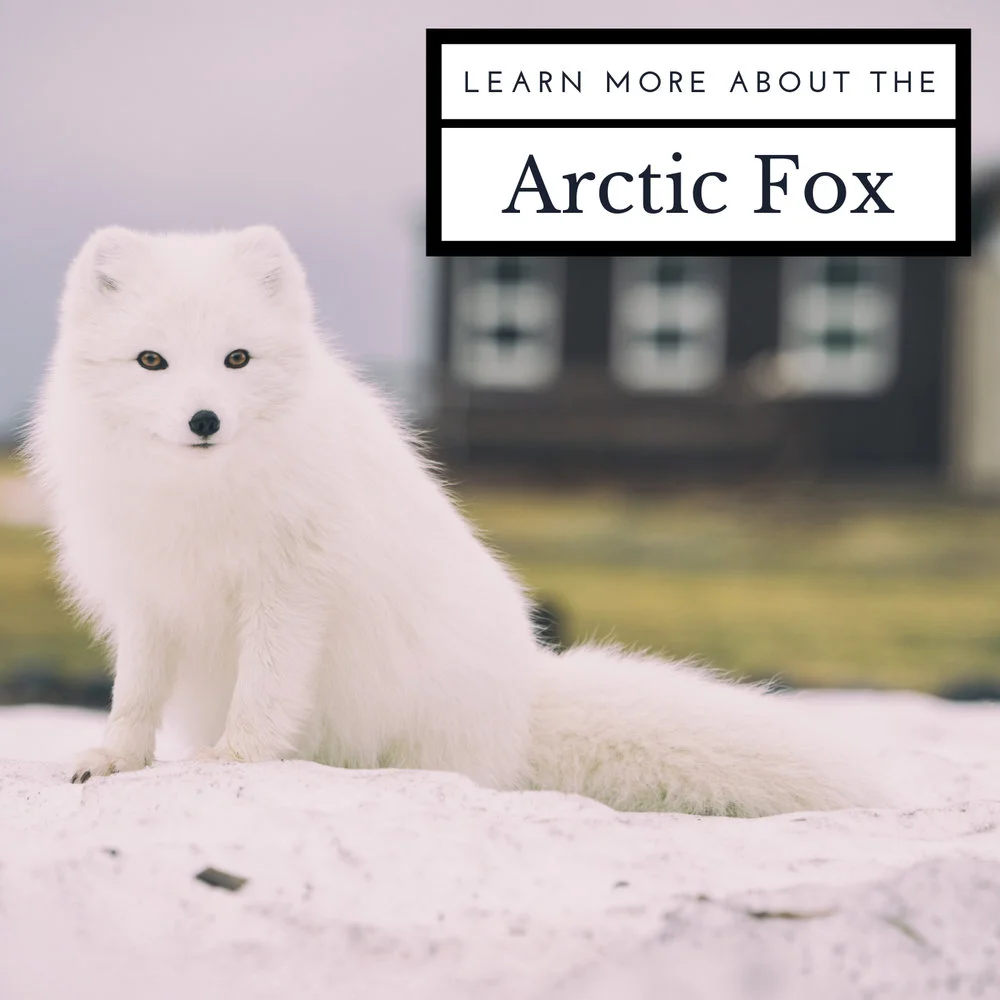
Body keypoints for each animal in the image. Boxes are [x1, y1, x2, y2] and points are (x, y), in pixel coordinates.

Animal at [24, 226, 885, 817]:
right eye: (151, 361)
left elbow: (265, 689)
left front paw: (233, 759)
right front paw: (113, 759)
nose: (204, 420)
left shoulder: (289, 588)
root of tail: (523, 699)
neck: (198, 497)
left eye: (237, 359)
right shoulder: (146, 598)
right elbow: (133, 694)